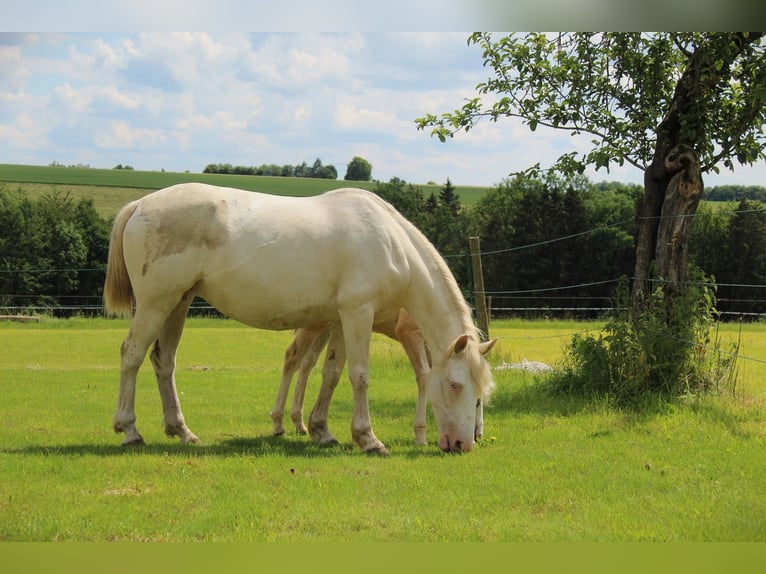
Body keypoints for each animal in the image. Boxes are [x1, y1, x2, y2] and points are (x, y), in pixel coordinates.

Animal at [270, 310, 486, 450]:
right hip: (314, 325)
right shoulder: (409, 334)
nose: (474, 437)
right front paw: (420, 436)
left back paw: (300, 424)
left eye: (477, 400)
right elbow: (423, 375)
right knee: (292, 359)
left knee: (307, 363)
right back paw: (279, 424)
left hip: (327, 326)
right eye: (456, 388)